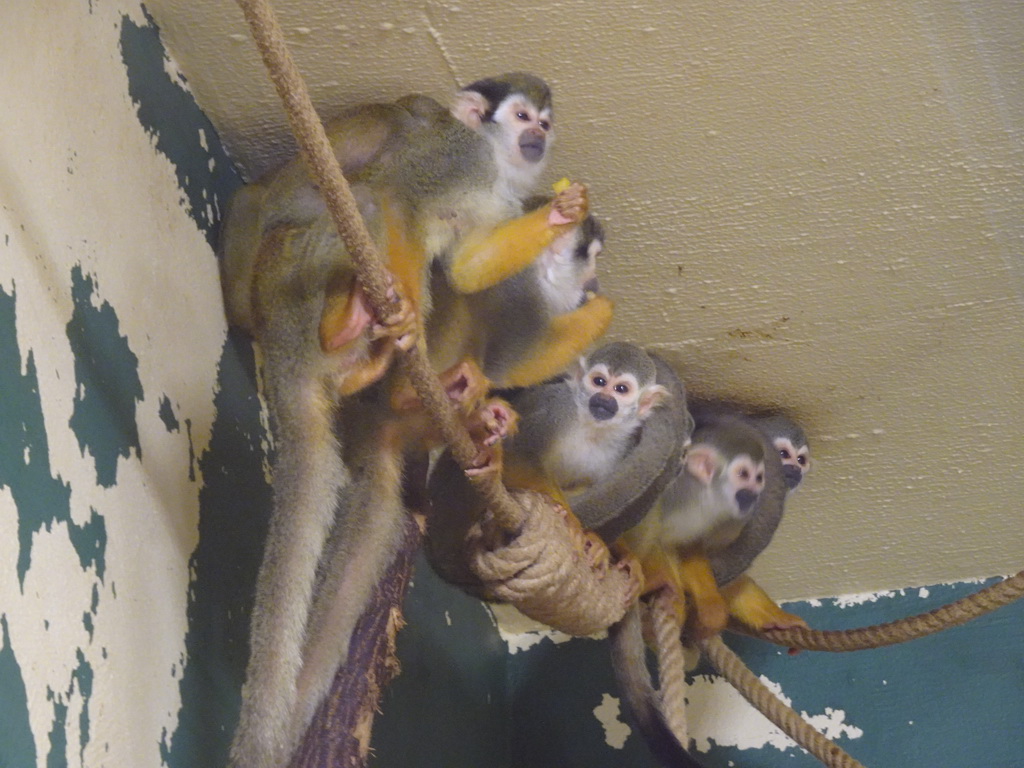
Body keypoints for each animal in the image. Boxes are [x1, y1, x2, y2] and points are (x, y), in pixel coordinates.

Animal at [222, 73, 585, 768]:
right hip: (292, 286)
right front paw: (407, 313)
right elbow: (397, 200)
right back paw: (355, 333)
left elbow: (467, 266)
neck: (493, 161)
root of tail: (285, 356)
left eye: (545, 123)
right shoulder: (454, 158)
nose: (536, 137)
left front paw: (558, 216)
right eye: (521, 116)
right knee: (363, 200)